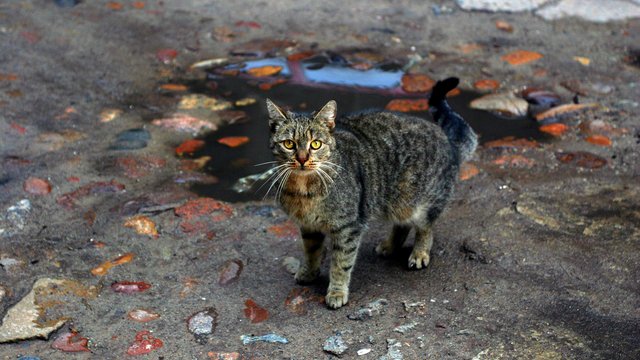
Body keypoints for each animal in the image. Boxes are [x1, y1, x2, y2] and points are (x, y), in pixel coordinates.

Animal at [264, 77, 476, 308]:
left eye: (316, 144)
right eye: (289, 144)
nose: (302, 159)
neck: (304, 191)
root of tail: (449, 142)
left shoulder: (348, 228)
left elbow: (341, 264)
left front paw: (337, 292)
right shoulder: (308, 227)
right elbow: (311, 252)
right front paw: (309, 273)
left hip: (422, 204)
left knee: (425, 228)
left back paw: (419, 253)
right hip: (398, 202)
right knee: (402, 225)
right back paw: (389, 246)